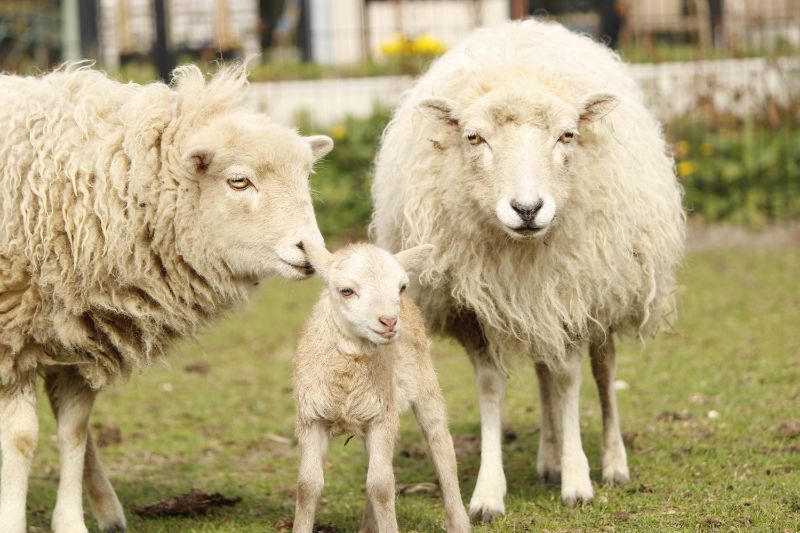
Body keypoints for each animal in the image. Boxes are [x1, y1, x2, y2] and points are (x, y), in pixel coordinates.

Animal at [0, 63, 334, 532]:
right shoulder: (12, 337)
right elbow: (21, 438)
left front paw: (71, 522)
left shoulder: (82, 334)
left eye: (305, 178)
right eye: (238, 181)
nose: (311, 251)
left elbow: (73, 432)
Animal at [292, 240, 468, 532]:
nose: (389, 322)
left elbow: (382, 487)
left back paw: (460, 522)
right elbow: (308, 486)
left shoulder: (382, 418)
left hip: (425, 385)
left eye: (401, 287)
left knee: (442, 450)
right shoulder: (312, 417)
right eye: (346, 290)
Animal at [372, 17, 684, 520]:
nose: (527, 208)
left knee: (603, 371)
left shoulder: (575, 294)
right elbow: (492, 387)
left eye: (567, 135)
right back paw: (548, 457)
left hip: (606, 290)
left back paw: (613, 462)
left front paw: (578, 482)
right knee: (542, 370)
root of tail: (530, 25)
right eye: (474, 137)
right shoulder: (473, 310)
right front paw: (488, 492)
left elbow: (571, 378)